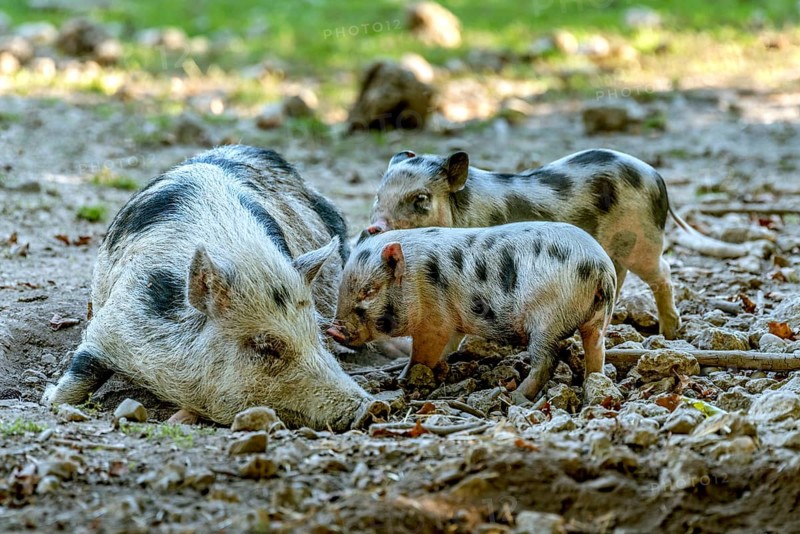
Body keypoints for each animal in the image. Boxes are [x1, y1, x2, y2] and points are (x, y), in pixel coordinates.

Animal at [42, 145, 387, 431]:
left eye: (315, 335)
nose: (373, 408)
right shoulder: (115, 322)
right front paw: (48, 397)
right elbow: (78, 376)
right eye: (264, 346)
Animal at [329, 222, 617, 402]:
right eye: (342, 286)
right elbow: (447, 348)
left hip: (546, 318)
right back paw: (592, 380)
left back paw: (516, 397)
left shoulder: (434, 321)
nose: (333, 329)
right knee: (596, 348)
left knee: (547, 359)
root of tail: (599, 267)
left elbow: (422, 355)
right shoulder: (452, 324)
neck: (415, 282)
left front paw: (402, 380)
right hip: (598, 318)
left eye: (368, 291)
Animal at [366, 148, 686, 339]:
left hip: (643, 240)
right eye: (378, 196)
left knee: (663, 272)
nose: (375, 227)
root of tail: (656, 176)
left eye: (420, 198)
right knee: (620, 276)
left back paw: (670, 333)